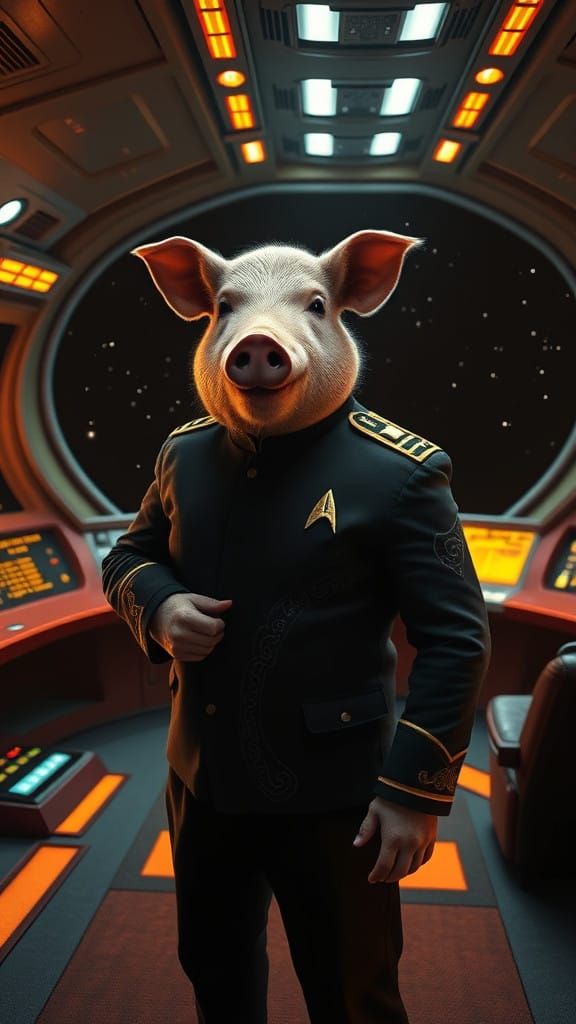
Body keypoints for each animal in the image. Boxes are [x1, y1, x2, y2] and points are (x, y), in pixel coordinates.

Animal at [102, 230, 490, 1024]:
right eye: (224, 306)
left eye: (316, 305)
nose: (257, 343)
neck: (262, 451)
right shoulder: (160, 482)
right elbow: (131, 552)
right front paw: (195, 626)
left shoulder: (429, 506)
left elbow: (453, 630)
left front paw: (400, 837)